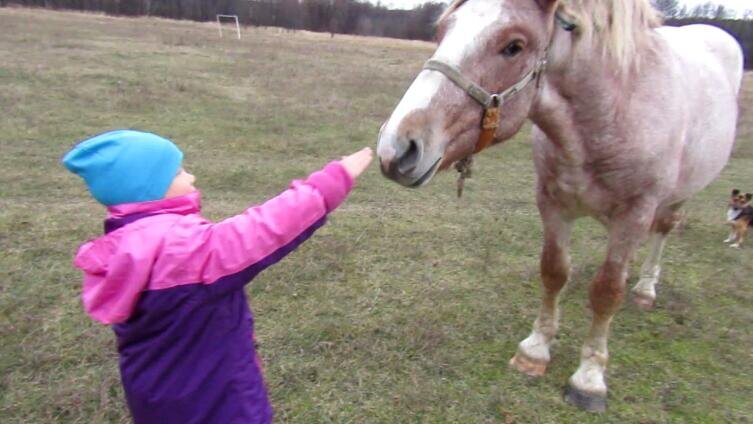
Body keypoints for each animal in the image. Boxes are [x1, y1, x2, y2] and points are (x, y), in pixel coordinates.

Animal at [374, 0, 740, 412]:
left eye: (514, 46)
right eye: (442, 31)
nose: (396, 148)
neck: (612, 109)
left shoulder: (633, 216)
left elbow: (607, 291)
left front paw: (589, 377)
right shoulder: (552, 204)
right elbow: (553, 272)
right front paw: (535, 351)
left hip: (677, 197)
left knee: (662, 233)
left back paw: (646, 288)